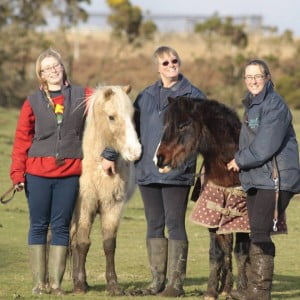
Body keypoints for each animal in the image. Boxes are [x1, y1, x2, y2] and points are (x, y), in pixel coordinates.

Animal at [71, 85, 141, 296]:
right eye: (111, 117)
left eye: (133, 115)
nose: (135, 151)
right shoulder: (85, 206)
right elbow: (83, 243)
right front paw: (79, 284)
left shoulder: (112, 206)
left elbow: (109, 245)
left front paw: (113, 285)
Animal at [154, 97, 250, 298]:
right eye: (166, 124)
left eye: (183, 125)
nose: (160, 158)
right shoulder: (212, 216)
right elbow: (216, 253)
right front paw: (212, 291)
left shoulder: (243, 219)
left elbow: (241, 253)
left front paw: (243, 289)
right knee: (226, 249)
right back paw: (225, 288)